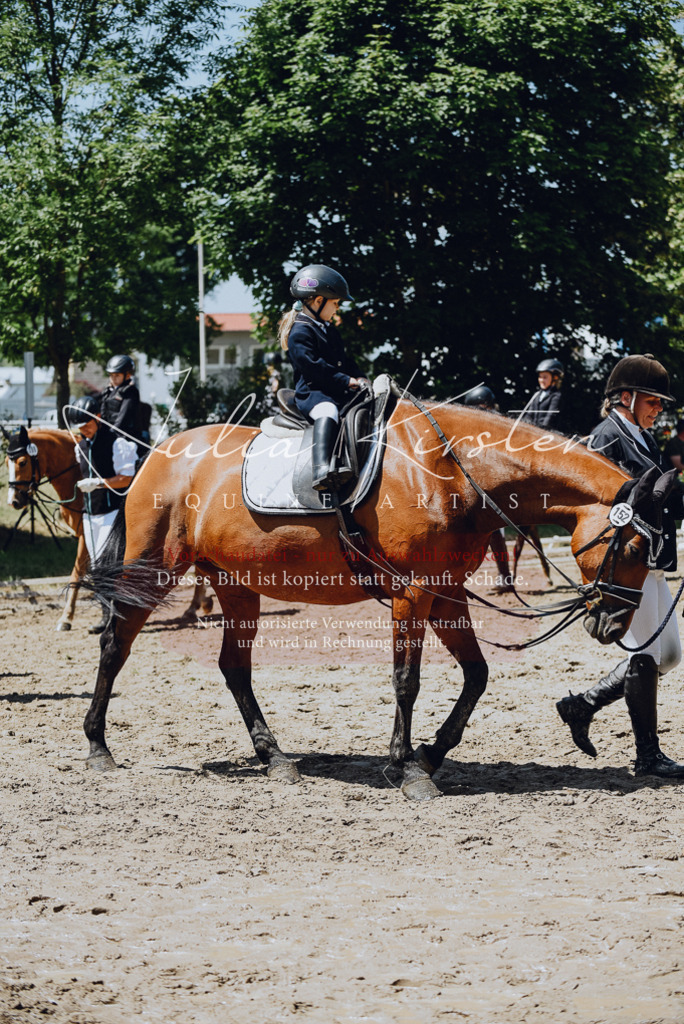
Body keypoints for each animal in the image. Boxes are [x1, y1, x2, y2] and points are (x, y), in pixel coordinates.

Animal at [81, 396, 661, 800]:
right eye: (633, 545)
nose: (614, 624)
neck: (453, 471)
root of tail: (159, 454)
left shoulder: (446, 592)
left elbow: (476, 676)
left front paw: (428, 755)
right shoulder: (414, 593)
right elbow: (407, 680)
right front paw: (406, 770)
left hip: (234, 583)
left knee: (234, 668)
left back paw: (275, 758)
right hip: (153, 572)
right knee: (115, 646)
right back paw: (97, 746)